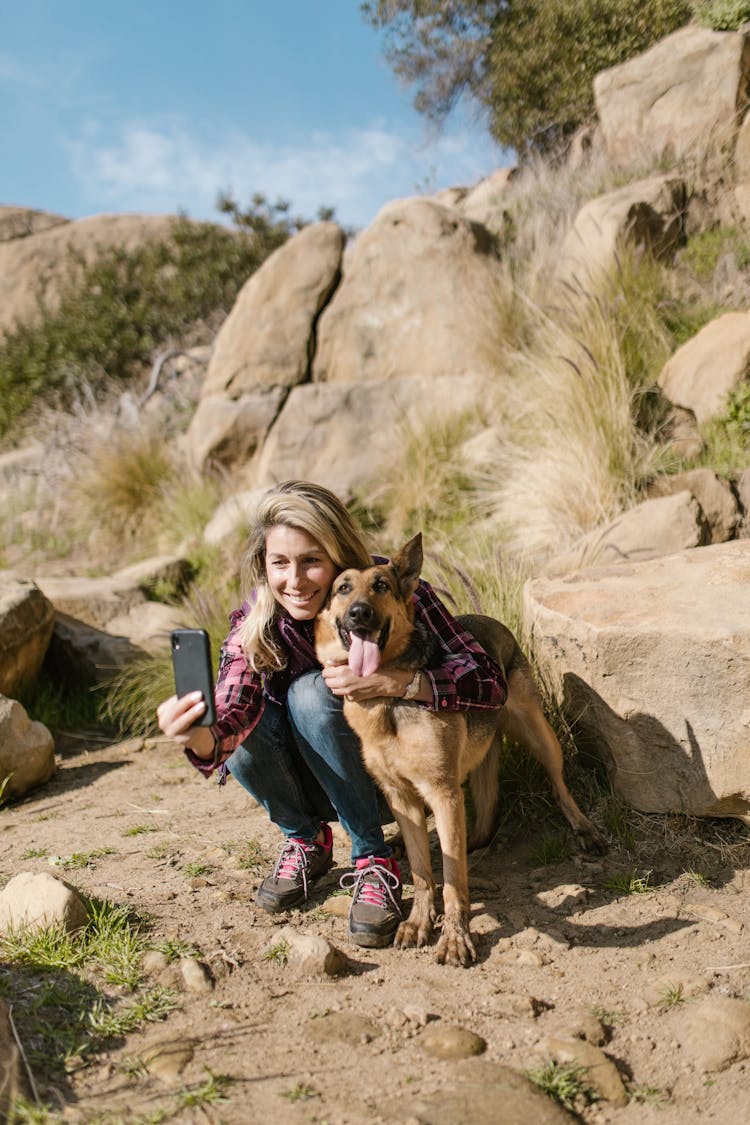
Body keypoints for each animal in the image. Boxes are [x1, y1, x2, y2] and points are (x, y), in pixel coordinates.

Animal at [314, 531, 607, 963]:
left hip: (540, 736)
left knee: (559, 785)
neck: (389, 700)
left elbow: (453, 878)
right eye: (342, 589)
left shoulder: (444, 792)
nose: (359, 614)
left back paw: (584, 828)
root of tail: (487, 619)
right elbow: (424, 873)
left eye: (381, 586)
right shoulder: (402, 797)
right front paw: (419, 921)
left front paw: (454, 936)